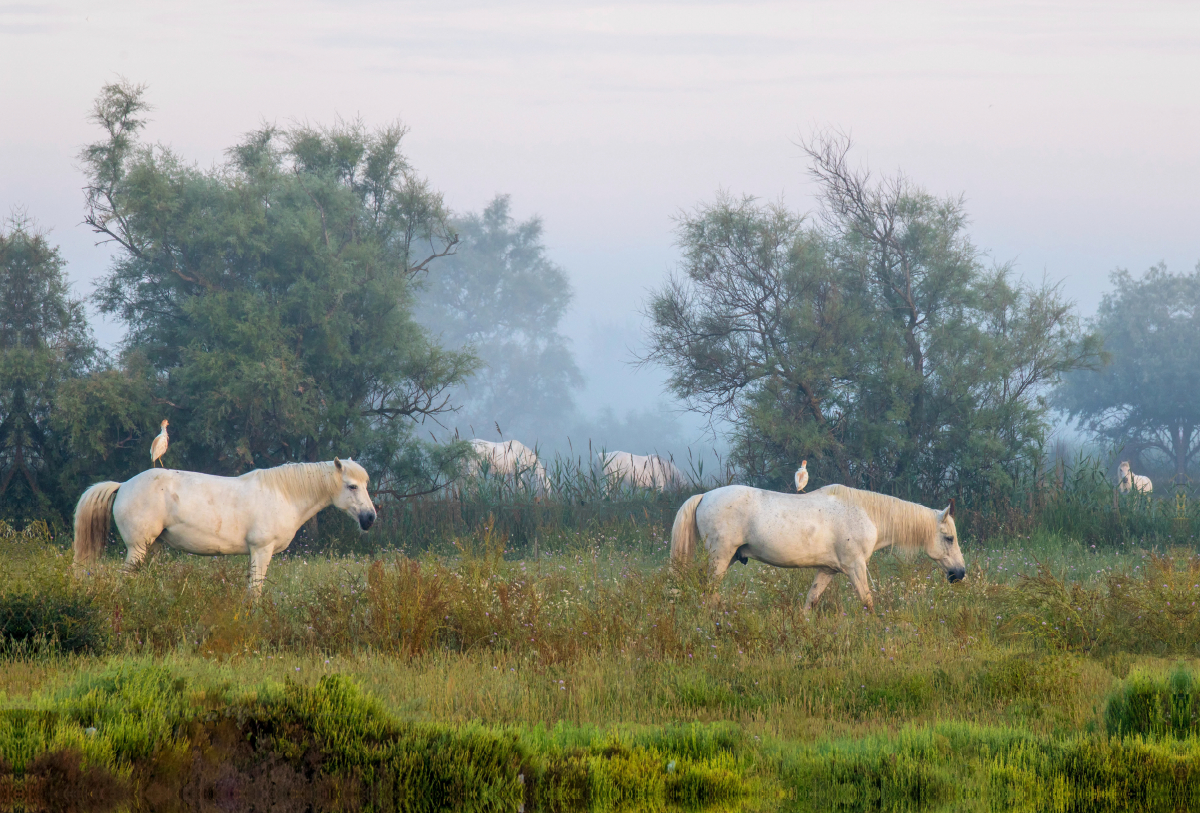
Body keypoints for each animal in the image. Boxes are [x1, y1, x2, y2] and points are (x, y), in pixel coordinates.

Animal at [72, 458, 372, 599]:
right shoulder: (261, 551)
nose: (370, 518)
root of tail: (123, 485)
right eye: (352, 486)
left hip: (152, 548)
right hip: (137, 549)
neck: (283, 494)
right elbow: (255, 591)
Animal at [672, 484, 969, 611]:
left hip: (729, 557)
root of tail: (705, 496)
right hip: (720, 557)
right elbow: (868, 601)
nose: (960, 573)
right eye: (949, 538)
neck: (866, 514)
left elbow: (810, 601)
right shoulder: (855, 567)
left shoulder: (828, 570)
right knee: (709, 591)